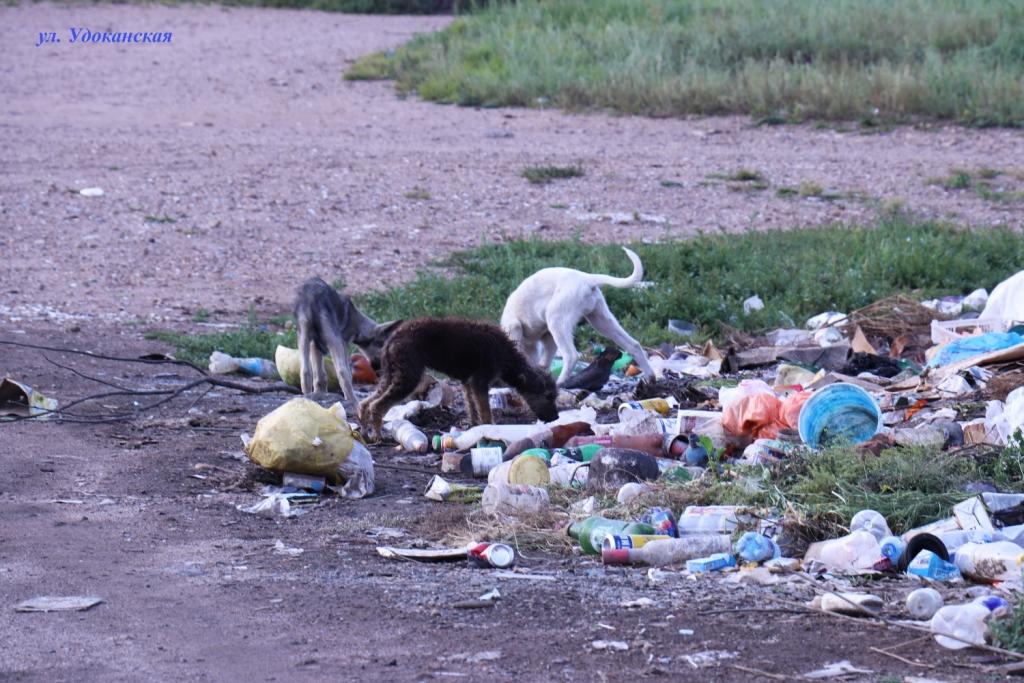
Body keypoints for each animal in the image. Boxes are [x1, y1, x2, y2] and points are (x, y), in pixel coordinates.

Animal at [358, 318, 559, 440]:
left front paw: (474, 428)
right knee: (377, 406)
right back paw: (377, 435)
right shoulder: (479, 381)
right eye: (548, 396)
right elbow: (485, 413)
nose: (556, 417)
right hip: (407, 377)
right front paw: (488, 431)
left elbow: (472, 409)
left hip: (391, 375)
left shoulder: (467, 383)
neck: (506, 355)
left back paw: (365, 431)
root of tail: (393, 338)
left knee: (365, 403)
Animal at [500, 247, 655, 385]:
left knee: (571, 355)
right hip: (601, 320)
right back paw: (650, 377)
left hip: (556, 319)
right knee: (634, 345)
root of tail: (586, 278)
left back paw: (561, 383)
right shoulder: (547, 337)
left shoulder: (514, 326)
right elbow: (543, 363)